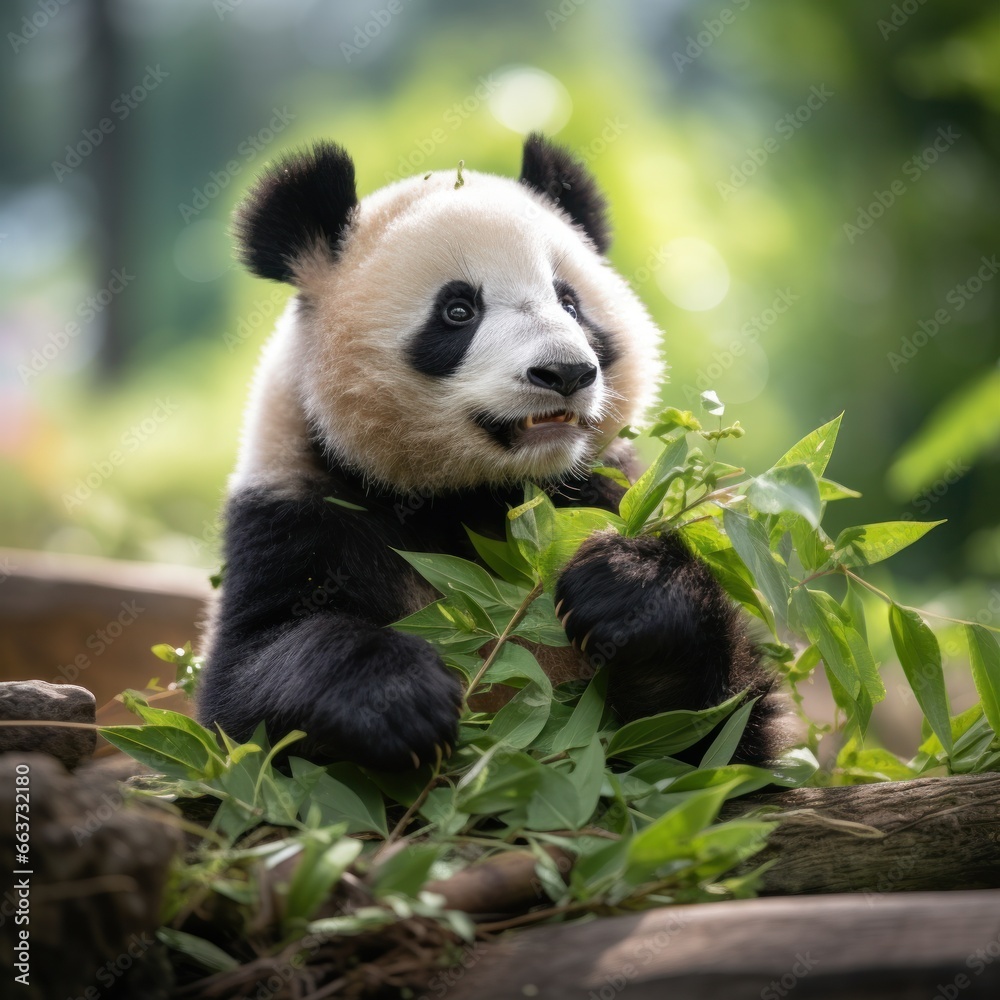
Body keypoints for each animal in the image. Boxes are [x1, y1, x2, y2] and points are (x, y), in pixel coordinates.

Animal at [199, 135, 784, 772]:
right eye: (458, 310)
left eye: (570, 304)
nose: (565, 372)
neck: (482, 497)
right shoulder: (299, 509)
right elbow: (243, 692)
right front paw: (397, 698)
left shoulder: (601, 489)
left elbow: (712, 738)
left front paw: (629, 587)